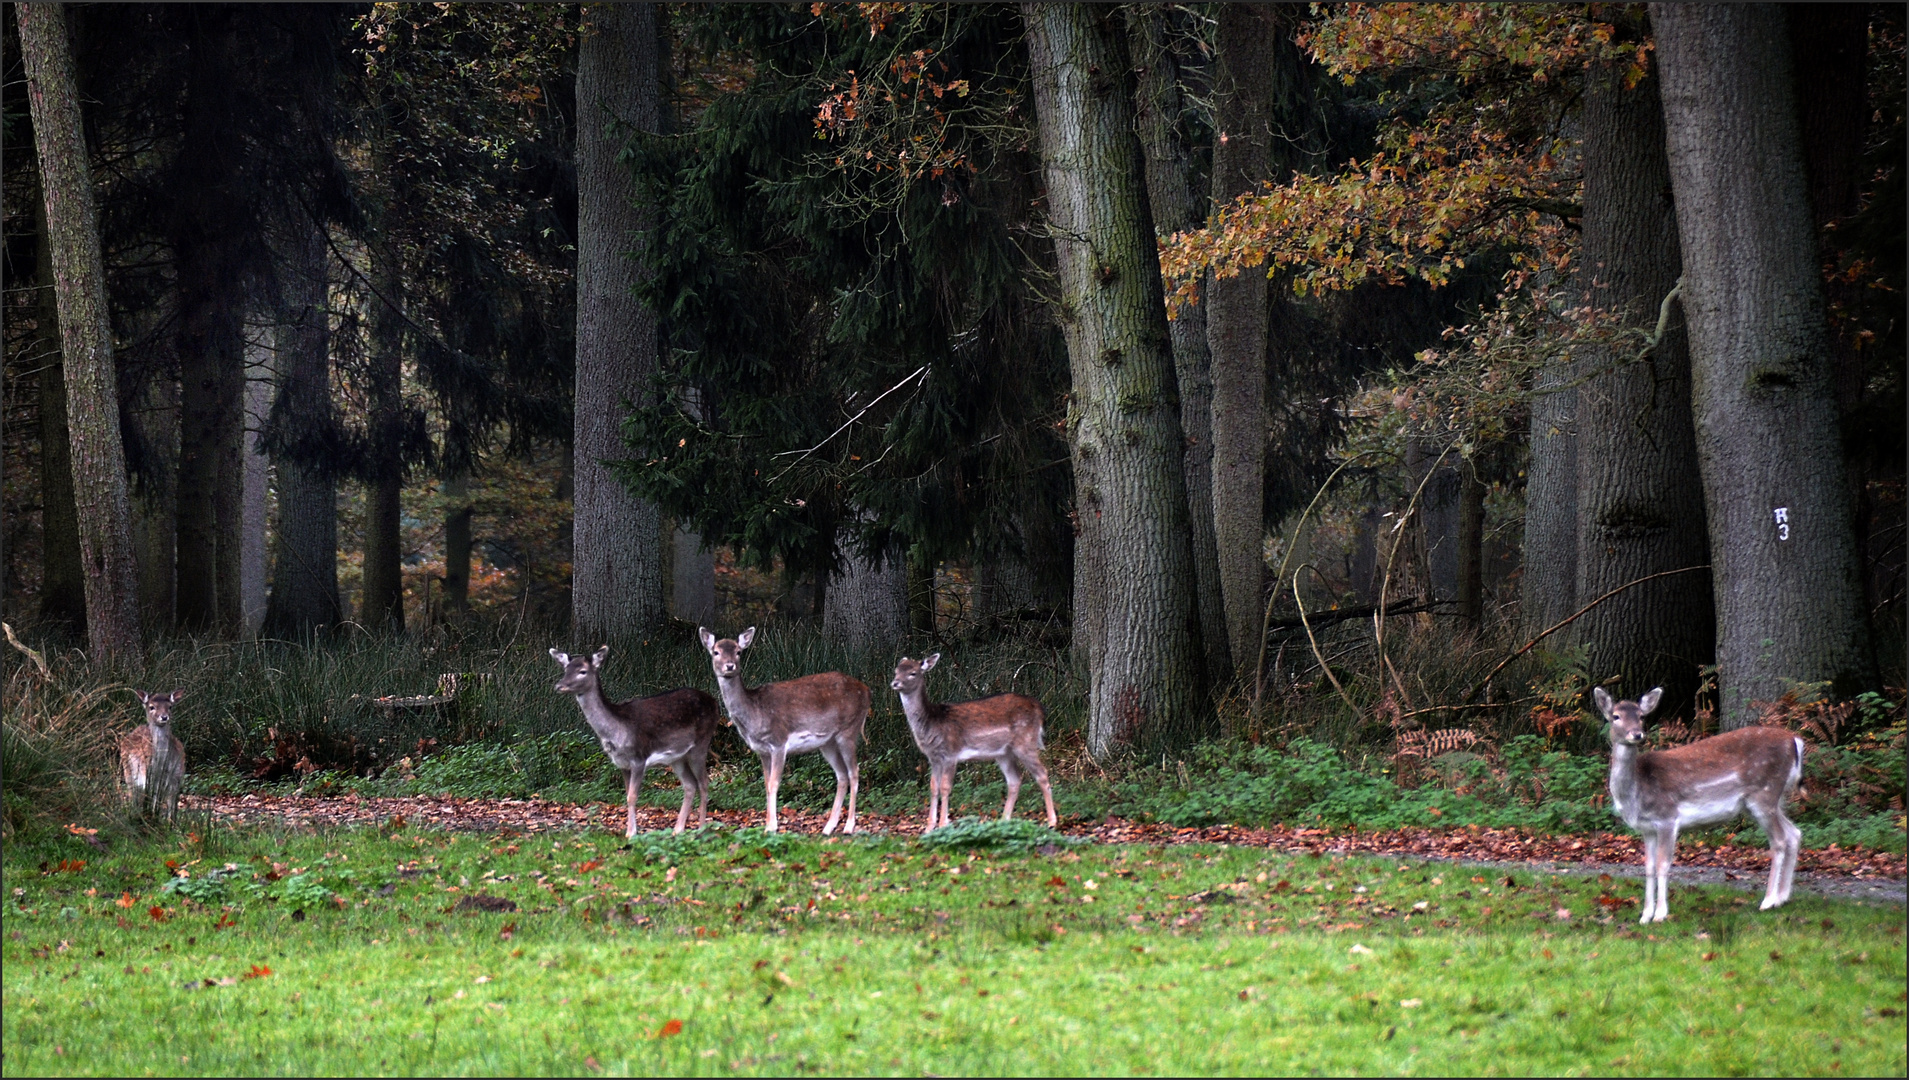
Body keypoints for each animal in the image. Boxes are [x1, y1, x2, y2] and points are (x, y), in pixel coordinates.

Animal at [557, 648, 725, 843]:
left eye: (582, 671)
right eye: (565, 669)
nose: (559, 686)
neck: (617, 731)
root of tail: (715, 703)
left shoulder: (639, 757)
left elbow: (632, 796)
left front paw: (631, 833)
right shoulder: (621, 764)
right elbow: (627, 795)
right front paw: (630, 831)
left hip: (701, 744)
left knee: (704, 782)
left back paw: (701, 829)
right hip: (677, 757)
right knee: (690, 785)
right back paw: (678, 830)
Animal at [698, 625, 870, 839]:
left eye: (738, 651)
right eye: (716, 652)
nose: (729, 666)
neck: (754, 714)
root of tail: (867, 691)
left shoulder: (778, 742)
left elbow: (774, 783)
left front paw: (772, 827)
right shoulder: (762, 750)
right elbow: (765, 785)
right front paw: (767, 824)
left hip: (849, 729)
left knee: (854, 772)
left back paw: (849, 826)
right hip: (827, 742)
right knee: (842, 775)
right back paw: (828, 827)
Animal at [889, 656, 1061, 835]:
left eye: (913, 673)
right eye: (896, 670)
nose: (895, 683)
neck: (932, 723)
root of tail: (1040, 708)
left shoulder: (950, 754)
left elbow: (945, 787)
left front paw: (943, 824)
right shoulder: (933, 758)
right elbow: (933, 787)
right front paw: (929, 828)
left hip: (1026, 742)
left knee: (1042, 774)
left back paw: (1052, 821)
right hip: (1003, 753)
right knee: (1015, 780)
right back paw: (1003, 820)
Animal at [1595, 690, 1802, 927]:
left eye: (1641, 716)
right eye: (1616, 716)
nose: (1637, 734)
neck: (1637, 792)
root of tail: (1795, 741)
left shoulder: (1667, 817)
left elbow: (1663, 864)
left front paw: (1660, 914)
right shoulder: (1647, 829)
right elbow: (1648, 868)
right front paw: (1645, 915)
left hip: (1765, 793)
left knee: (1779, 841)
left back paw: (1768, 901)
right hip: (1768, 801)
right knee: (1794, 833)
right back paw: (1783, 897)